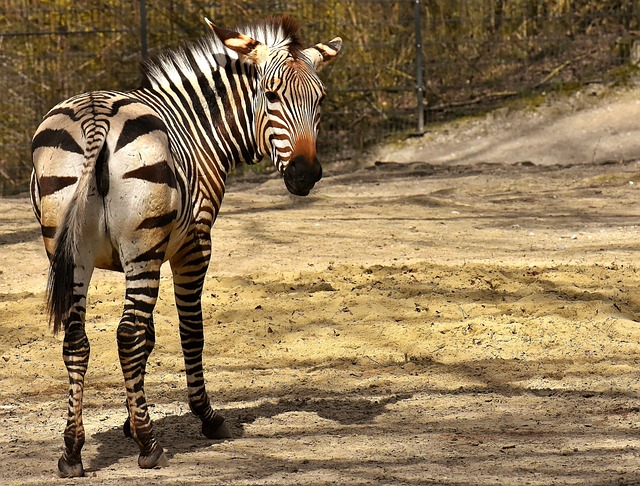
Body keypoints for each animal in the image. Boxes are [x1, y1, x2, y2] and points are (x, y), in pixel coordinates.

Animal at [31, 17, 340, 476]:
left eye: (318, 100)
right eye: (270, 96)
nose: (305, 174)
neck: (198, 129)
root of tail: (96, 117)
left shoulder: (135, 257)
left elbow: (149, 338)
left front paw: (129, 420)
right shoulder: (191, 246)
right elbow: (188, 331)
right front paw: (204, 417)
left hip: (70, 251)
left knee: (76, 340)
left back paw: (72, 450)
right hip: (140, 247)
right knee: (125, 333)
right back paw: (149, 445)